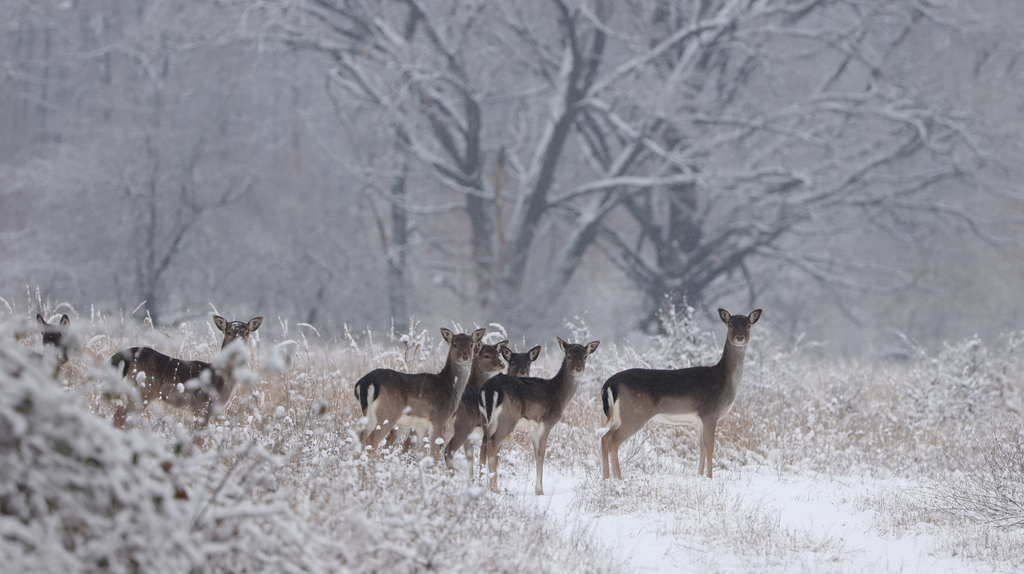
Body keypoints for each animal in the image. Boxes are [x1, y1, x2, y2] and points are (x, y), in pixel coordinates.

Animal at [108, 313, 264, 429]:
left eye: (247, 333)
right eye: (229, 332)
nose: (238, 347)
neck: (220, 379)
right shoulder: (203, 406)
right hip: (141, 389)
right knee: (120, 418)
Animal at [354, 327, 485, 460]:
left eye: (471, 344)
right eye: (454, 344)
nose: (465, 357)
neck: (450, 387)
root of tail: (365, 383)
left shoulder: (421, 425)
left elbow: (420, 451)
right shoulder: (438, 420)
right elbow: (434, 453)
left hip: (369, 414)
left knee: (360, 438)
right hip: (387, 414)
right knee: (371, 441)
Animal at [479, 335, 598, 493]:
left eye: (585, 356)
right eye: (569, 356)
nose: (578, 369)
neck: (559, 395)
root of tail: (490, 389)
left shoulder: (533, 428)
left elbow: (535, 453)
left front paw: (538, 489)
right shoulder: (546, 422)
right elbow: (541, 453)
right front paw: (540, 491)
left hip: (485, 420)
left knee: (483, 445)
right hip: (507, 419)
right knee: (492, 444)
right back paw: (494, 488)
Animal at [598, 308, 761, 478]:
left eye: (748, 325)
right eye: (730, 324)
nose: (740, 337)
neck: (725, 379)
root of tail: (610, 383)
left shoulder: (700, 420)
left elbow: (701, 447)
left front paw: (700, 475)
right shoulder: (710, 413)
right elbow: (709, 446)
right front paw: (710, 476)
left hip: (619, 417)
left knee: (604, 438)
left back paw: (606, 477)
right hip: (634, 414)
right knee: (613, 441)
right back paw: (618, 478)